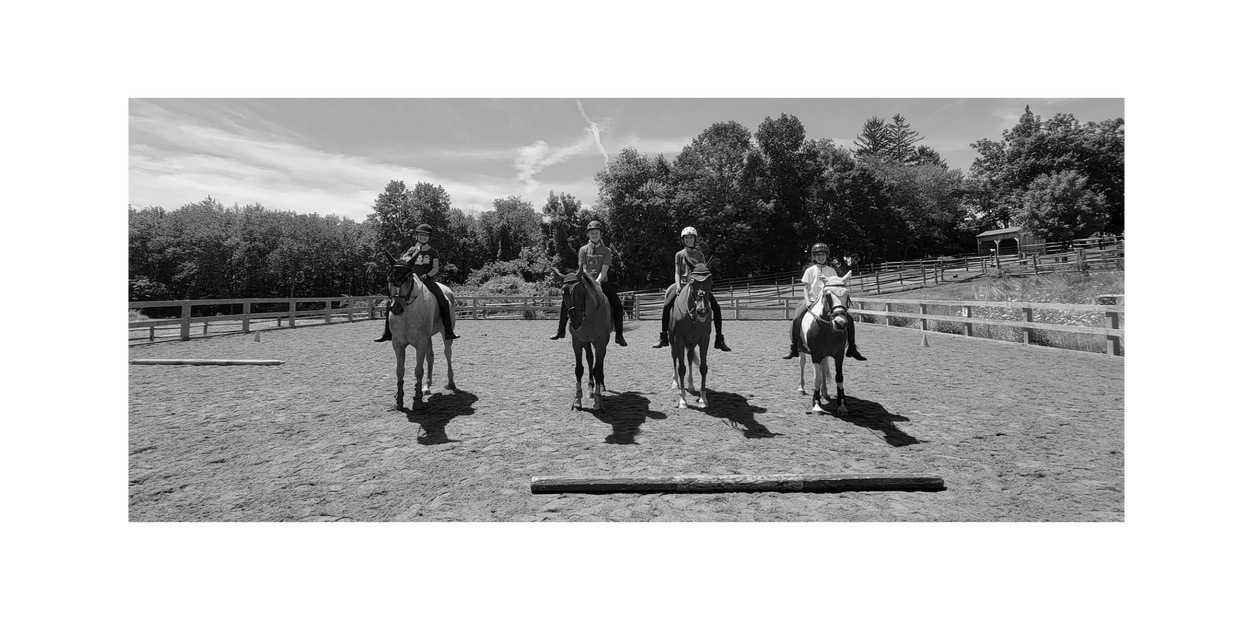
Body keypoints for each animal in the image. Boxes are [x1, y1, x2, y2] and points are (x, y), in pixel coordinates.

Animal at [381, 249, 456, 409]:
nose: (396, 308)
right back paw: (426, 387)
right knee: (431, 357)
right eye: (389, 278)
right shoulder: (398, 344)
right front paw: (399, 399)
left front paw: (417, 399)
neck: (407, 314)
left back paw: (451, 383)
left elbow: (418, 371)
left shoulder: (420, 343)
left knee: (447, 353)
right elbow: (400, 371)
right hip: (428, 337)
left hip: (445, 334)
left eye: (409, 278)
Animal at [555, 265, 612, 411]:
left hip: (604, 341)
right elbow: (579, 369)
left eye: (581, 292)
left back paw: (600, 386)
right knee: (590, 358)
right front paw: (577, 400)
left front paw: (598, 401)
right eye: (563, 294)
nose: (575, 323)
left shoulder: (600, 342)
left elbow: (598, 369)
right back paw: (591, 387)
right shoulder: (577, 342)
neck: (590, 314)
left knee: (600, 361)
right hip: (586, 342)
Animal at [669, 260, 709, 406]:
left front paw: (703, 398)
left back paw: (691, 385)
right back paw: (675, 383)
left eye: (711, 281)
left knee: (690, 357)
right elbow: (681, 368)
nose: (702, 311)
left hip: (691, 343)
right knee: (674, 356)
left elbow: (703, 367)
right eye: (692, 282)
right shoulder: (679, 339)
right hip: (671, 339)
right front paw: (682, 400)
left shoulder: (704, 339)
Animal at [798, 274, 858, 414]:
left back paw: (824, 393)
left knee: (824, 367)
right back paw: (802, 388)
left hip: (824, 355)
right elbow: (817, 378)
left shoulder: (839, 354)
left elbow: (839, 377)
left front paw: (842, 405)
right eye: (827, 295)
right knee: (802, 363)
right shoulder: (815, 354)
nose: (840, 323)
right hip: (802, 350)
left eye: (847, 294)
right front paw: (816, 404)